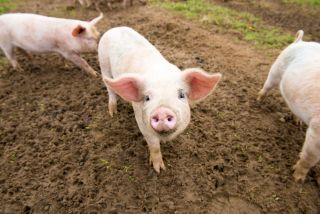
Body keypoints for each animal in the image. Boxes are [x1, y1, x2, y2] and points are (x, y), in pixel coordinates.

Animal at [99, 27, 221, 174]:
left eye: (181, 94)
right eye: (147, 98)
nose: (162, 111)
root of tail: (115, 28)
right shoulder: (142, 124)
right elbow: (154, 146)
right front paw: (159, 170)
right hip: (103, 62)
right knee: (109, 88)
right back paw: (113, 112)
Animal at [256, 30, 320, 182]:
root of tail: (300, 41)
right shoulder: (316, 130)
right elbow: (309, 158)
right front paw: (297, 180)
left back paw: (298, 124)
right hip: (275, 70)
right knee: (266, 87)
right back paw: (258, 101)